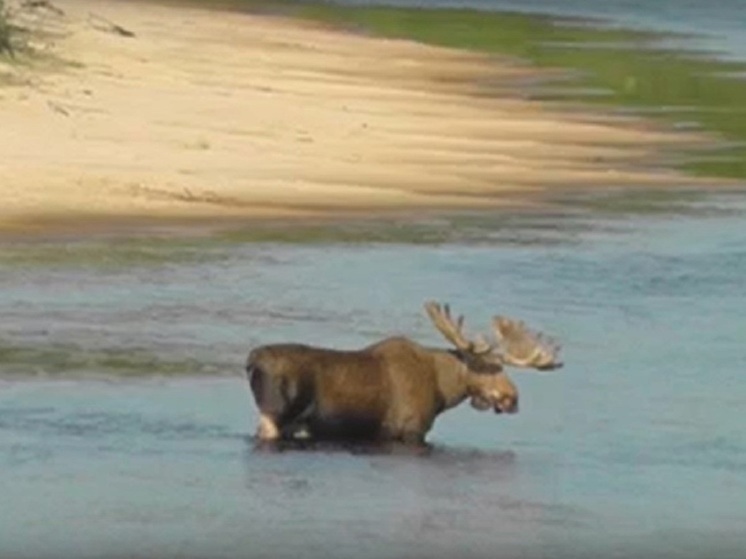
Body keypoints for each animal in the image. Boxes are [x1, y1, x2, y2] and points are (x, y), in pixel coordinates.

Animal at [247, 302, 560, 446]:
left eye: (503, 367)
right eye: (484, 366)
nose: (512, 397)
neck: (443, 392)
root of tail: (251, 362)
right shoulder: (410, 430)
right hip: (274, 416)